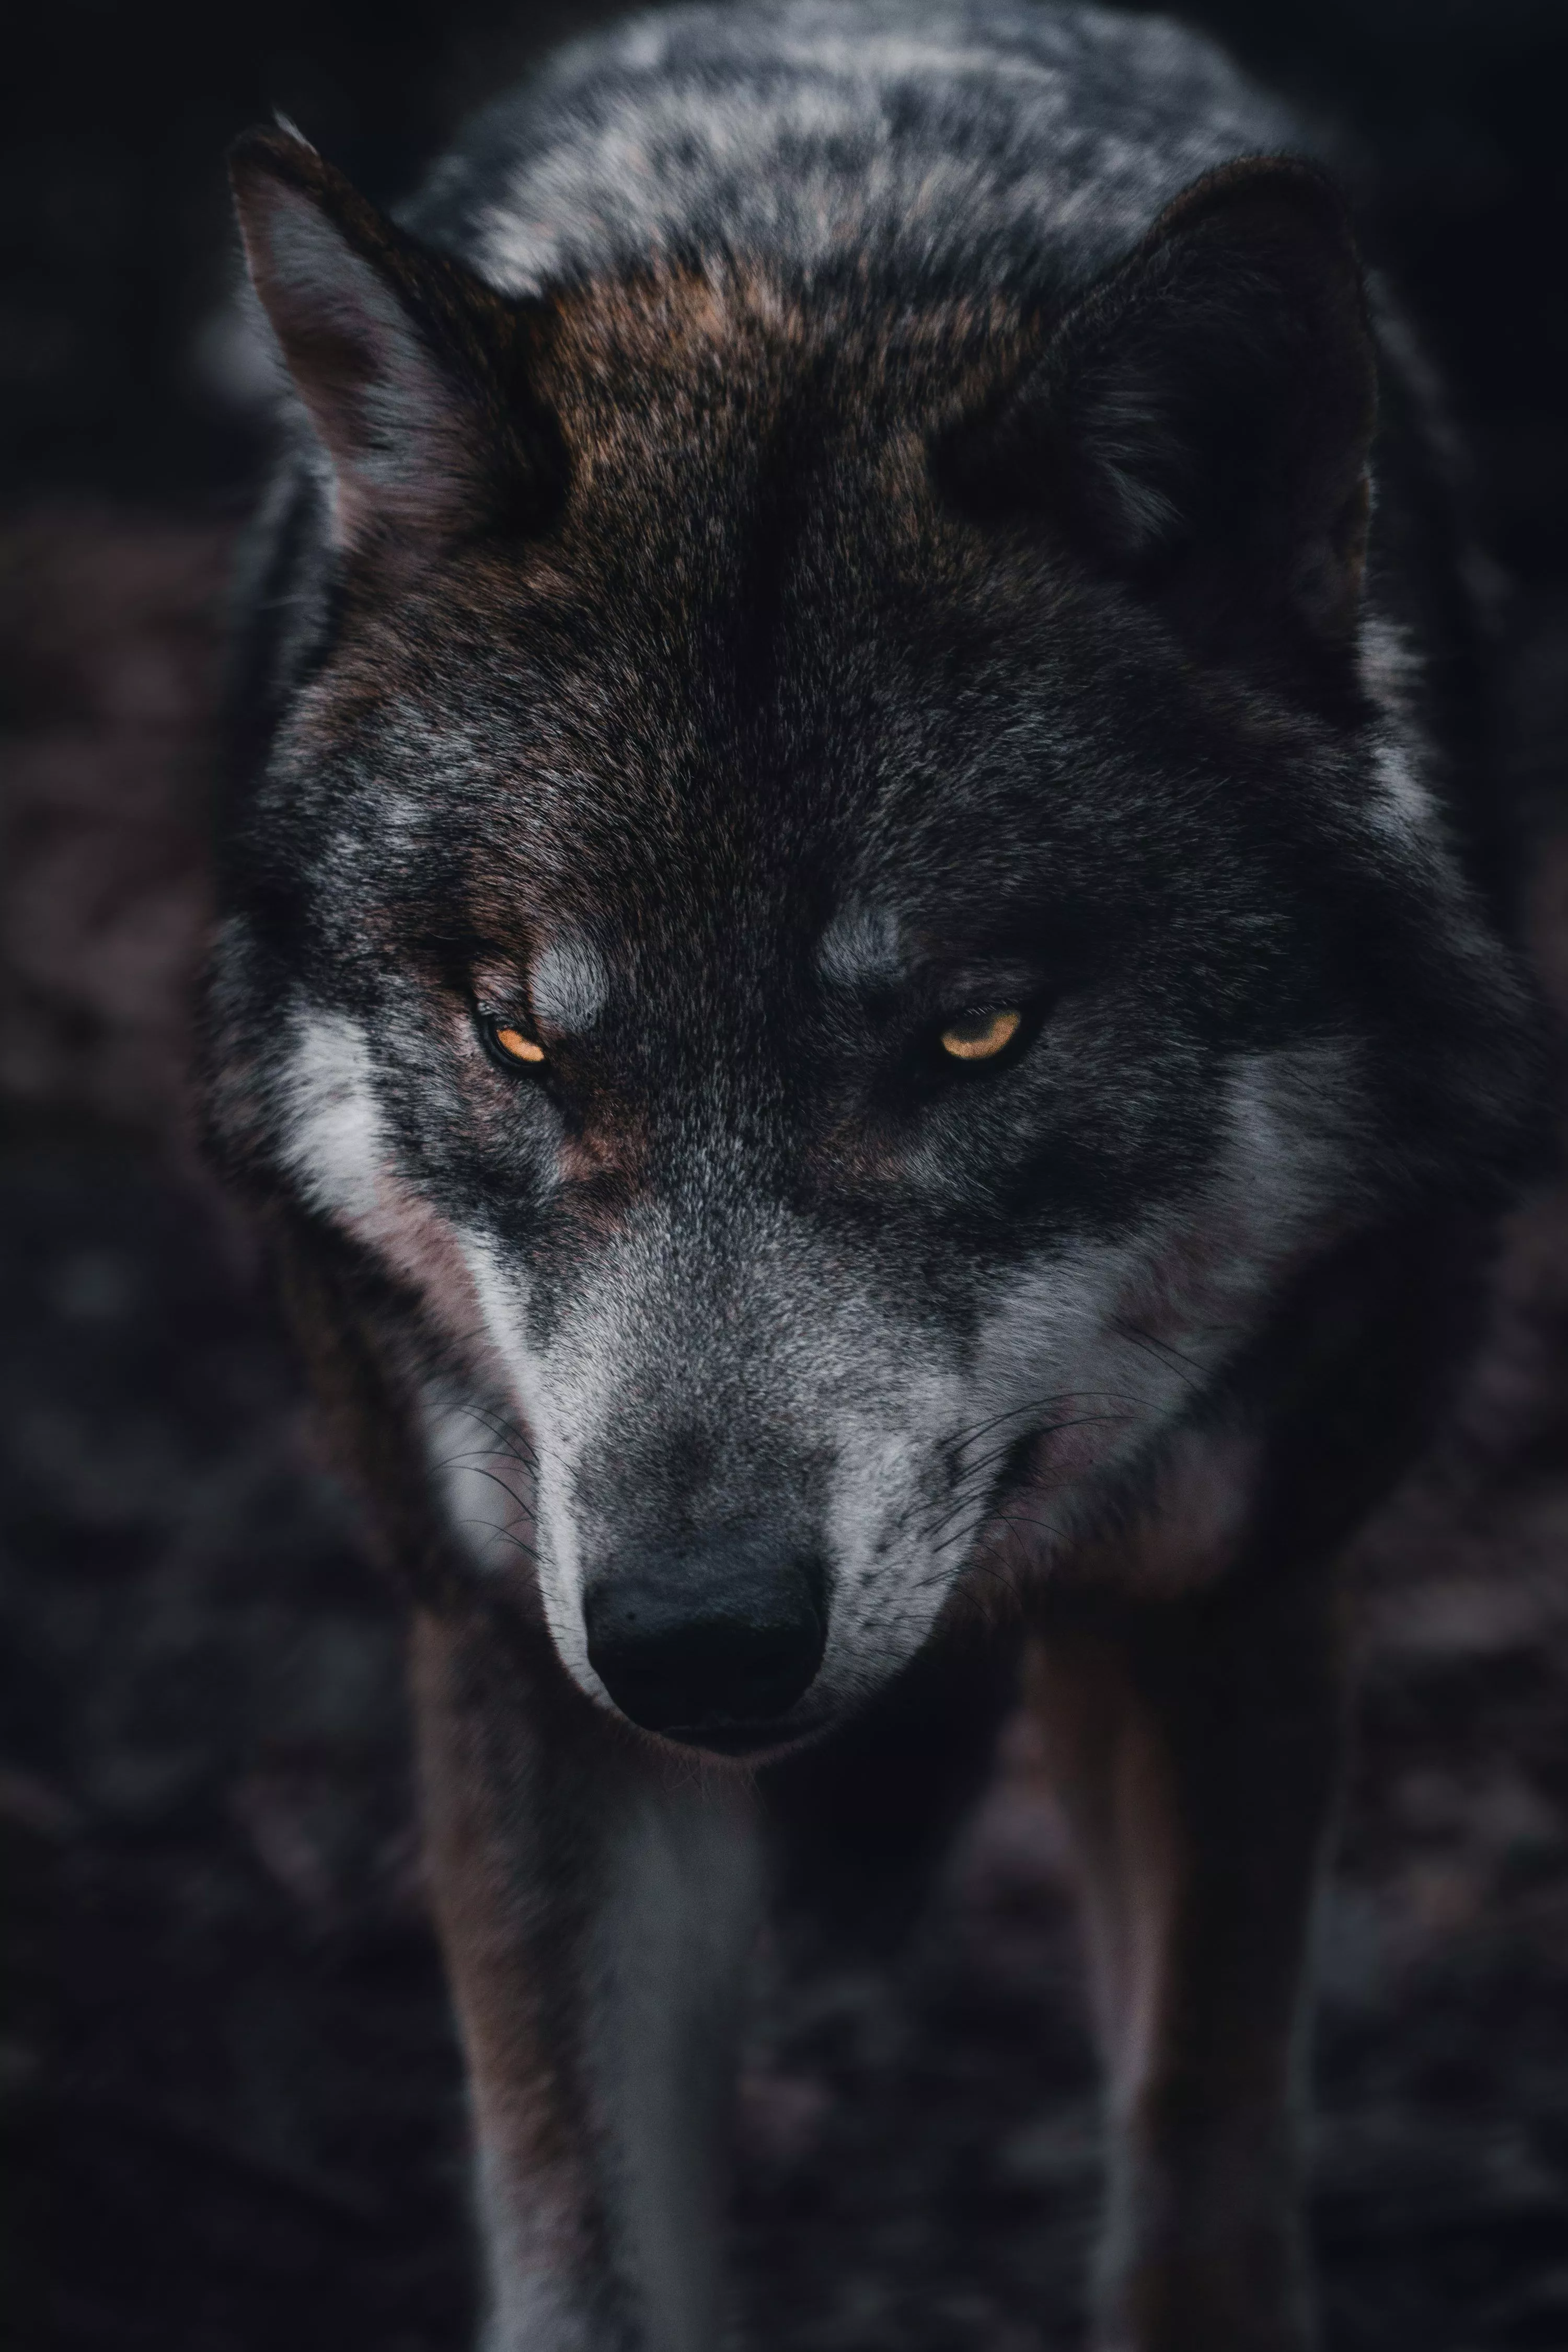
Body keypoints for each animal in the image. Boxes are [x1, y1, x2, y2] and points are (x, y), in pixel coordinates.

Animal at [205, 3, 1542, 2345]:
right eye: (522, 1036)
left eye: (973, 1033)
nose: (695, 1640)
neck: (825, 253)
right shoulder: (514, 1656)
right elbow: (589, 2256)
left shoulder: (1243, 1599)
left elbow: (1202, 2177)